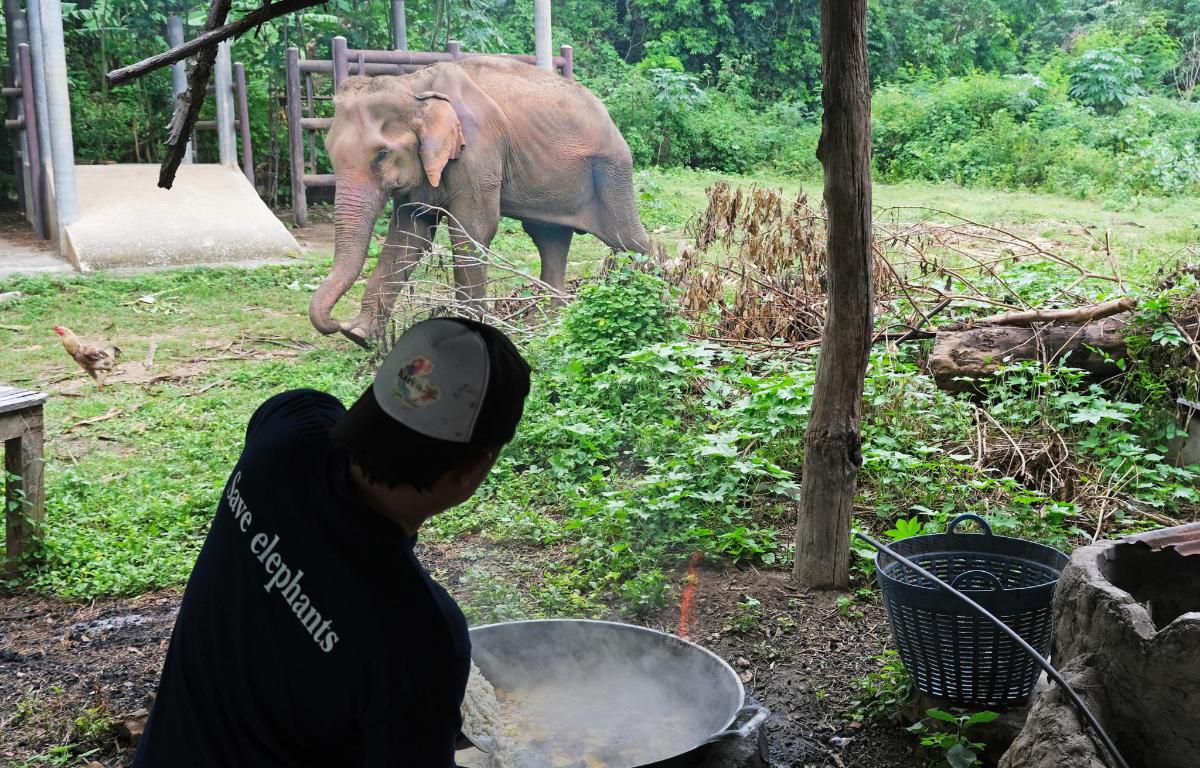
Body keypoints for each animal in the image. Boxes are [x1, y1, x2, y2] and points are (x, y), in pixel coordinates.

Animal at [304, 58, 652, 345]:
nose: (337, 324)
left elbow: (471, 234)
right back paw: (550, 324)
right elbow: (408, 238)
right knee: (549, 240)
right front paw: (361, 335)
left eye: (381, 154)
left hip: (612, 172)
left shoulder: (478, 154)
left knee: (627, 239)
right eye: (329, 149)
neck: (414, 85)